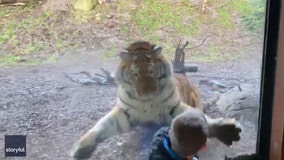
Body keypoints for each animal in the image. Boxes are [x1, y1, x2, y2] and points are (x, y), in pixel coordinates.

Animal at [70, 41, 242, 159]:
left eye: (152, 72)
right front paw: (81, 148)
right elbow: (101, 126)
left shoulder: (174, 109)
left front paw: (225, 129)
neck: (146, 102)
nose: (147, 93)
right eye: (135, 74)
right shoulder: (124, 113)